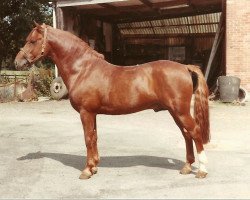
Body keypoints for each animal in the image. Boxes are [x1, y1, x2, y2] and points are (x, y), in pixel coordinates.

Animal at [14, 22, 210, 179]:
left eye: (32, 41)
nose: (17, 62)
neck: (82, 69)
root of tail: (185, 67)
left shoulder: (86, 112)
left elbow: (88, 138)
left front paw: (87, 171)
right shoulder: (92, 113)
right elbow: (94, 137)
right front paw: (94, 167)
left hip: (180, 111)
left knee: (195, 132)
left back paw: (202, 170)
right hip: (175, 112)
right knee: (186, 135)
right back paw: (186, 167)